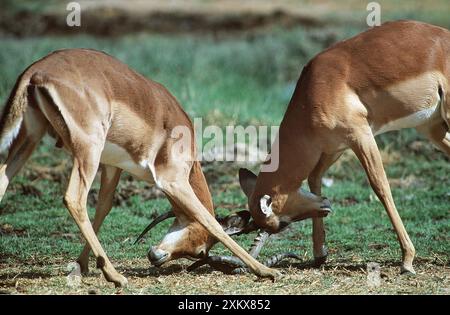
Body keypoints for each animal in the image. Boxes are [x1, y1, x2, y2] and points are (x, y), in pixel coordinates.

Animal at [0, 48, 326, 288]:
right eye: (200, 252)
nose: (155, 256)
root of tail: (36, 71)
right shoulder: (173, 180)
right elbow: (208, 219)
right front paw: (265, 271)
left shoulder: (112, 166)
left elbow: (104, 207)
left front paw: (79, 269)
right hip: (85, 151)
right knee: (74, 198)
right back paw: (117, 277)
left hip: (29, 140)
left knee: (3, 182)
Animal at [236, 21, 450, 276]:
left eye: (283, 222)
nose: (326, 206)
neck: (313, 89)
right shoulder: (333, 148)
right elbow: (313, 177)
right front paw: (320, 254)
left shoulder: (360, 135)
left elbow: (380, 186)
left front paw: (407, 260)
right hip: (432, 128)